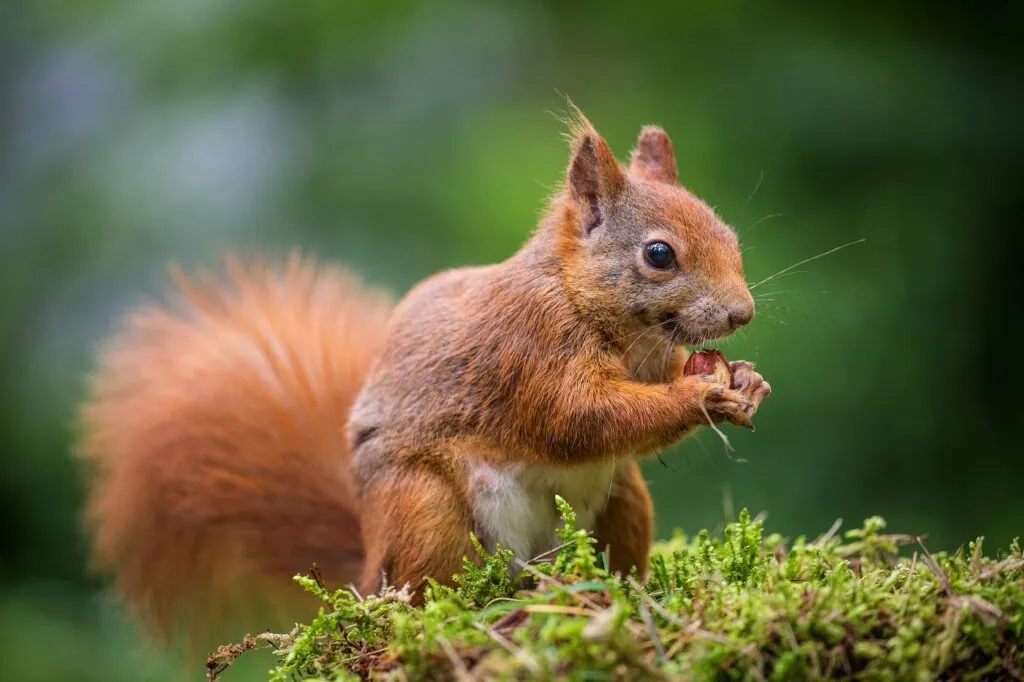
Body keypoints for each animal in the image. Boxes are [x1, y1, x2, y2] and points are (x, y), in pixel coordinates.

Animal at [77, 110, 770, 638]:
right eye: (659, 254)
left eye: (732, 235)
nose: (742, 313)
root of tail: (368, 571)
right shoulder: (529, 351)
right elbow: (582, 418)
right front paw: (700, 392)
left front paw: (746, 380)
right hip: (425, 508)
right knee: (421, 587)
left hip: (624, 502)